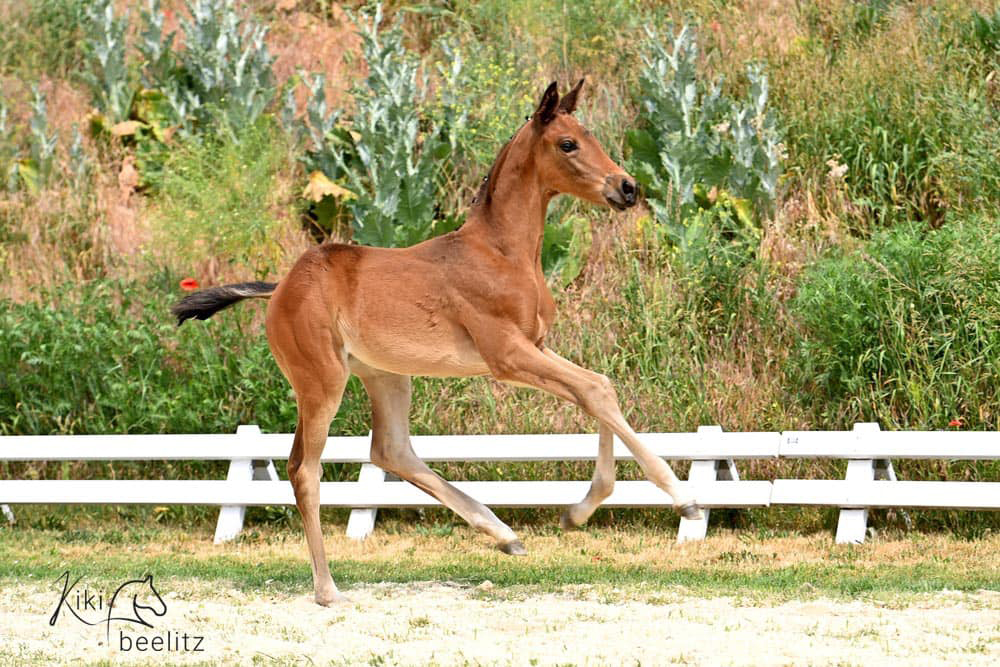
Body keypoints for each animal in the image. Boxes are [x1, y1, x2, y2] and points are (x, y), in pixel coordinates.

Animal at [174, 81, 704, 608]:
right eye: (568, 144)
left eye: (590, 135)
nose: (627, 188)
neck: (501, 252)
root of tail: (281, 287)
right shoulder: (507, 355)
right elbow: (596, 391)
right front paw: (685, 501)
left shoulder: (535, 345)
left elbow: (596, 388)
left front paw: (577, 512)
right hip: (321, 382)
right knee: (306, 469)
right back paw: (327, 588)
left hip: (386, 375)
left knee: (390, 450)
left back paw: (503, 532)